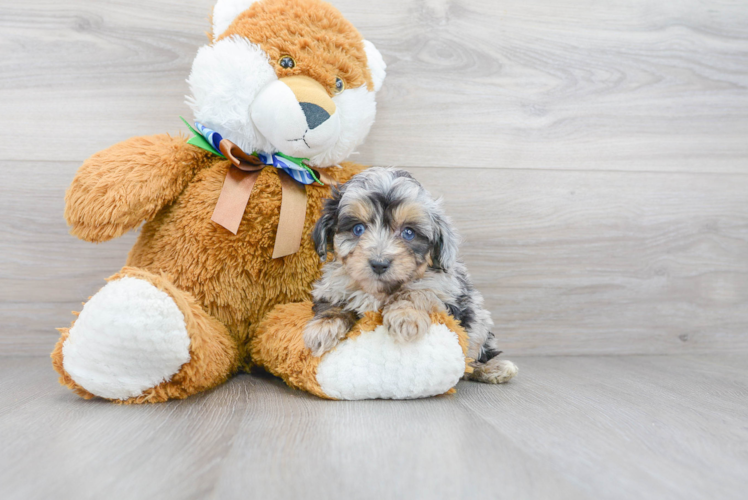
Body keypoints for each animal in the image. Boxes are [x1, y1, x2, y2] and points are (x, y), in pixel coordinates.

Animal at [300, 167, 516, 382]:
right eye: (358, 229)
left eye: (409, 233)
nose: (379, 264)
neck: (378, 291)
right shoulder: (331, 285)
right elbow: (333, 303)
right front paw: (323, 328)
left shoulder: (443, 287)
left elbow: (419, 292)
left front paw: (406, 317)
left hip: (478, 321)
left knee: (473, 357)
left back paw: (493, 368)